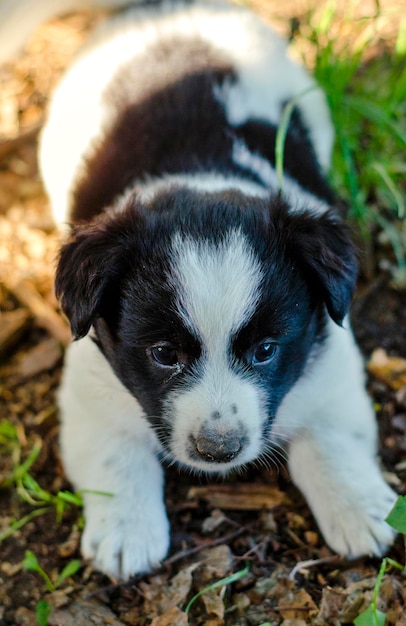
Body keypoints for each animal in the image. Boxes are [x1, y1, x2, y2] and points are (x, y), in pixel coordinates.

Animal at [1, 0, 396, 576]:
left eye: (265, 351)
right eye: (164, 354)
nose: (218, 450)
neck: (202, 179)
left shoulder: (330, 353)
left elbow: (330, 435)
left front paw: (359, 507)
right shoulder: (89, 380)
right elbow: (116, 452)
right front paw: (127, 530)